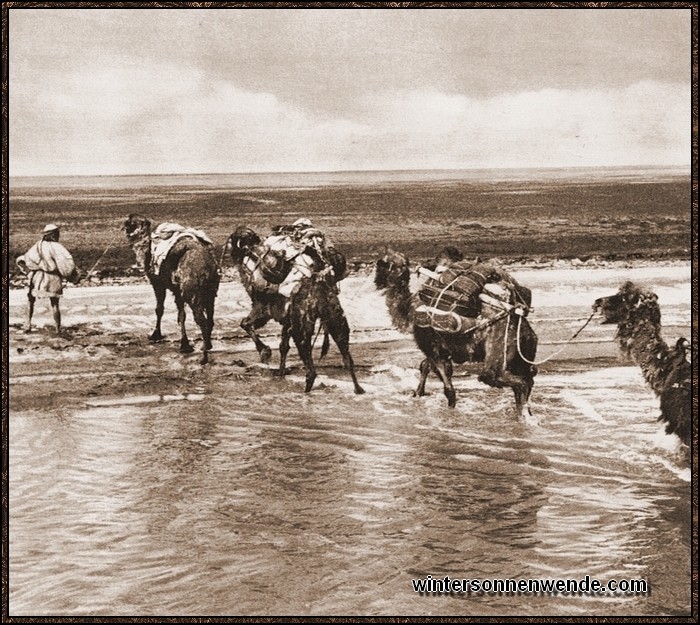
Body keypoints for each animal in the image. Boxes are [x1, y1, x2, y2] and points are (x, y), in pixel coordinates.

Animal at [123, 213, 219, 364]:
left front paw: (155, 335)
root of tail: (207, 267)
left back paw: (203, 358)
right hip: (210, 293)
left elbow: (159, 309)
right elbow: (181, 315)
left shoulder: (157, 283)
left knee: (202, 322)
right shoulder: (177, 290)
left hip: (192, 294)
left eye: (131, 223)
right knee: (210, 318)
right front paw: (185, 345)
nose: (126, 229)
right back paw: (208, 345)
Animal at [226, 227, 366, 394]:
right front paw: (280, 371)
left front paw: (265, 351)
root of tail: (318, 287)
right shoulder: (286, 319)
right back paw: (358, 389)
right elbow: (283, 346)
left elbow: (245, 323)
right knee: (347, 357)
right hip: (336, 320)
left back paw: (306, 389)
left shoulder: (262, 309)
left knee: (311, 368)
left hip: (302, 327)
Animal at [374, 247, 540, 414]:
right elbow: (425, 365)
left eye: (382, 264)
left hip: (499, 354)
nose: (377, 281)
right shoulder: (438, 349)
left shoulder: (431, 345)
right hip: (523, 353)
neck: (409, 308)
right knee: (529, 378)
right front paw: (417, 394)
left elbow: (448, 389)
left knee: (511, 381)